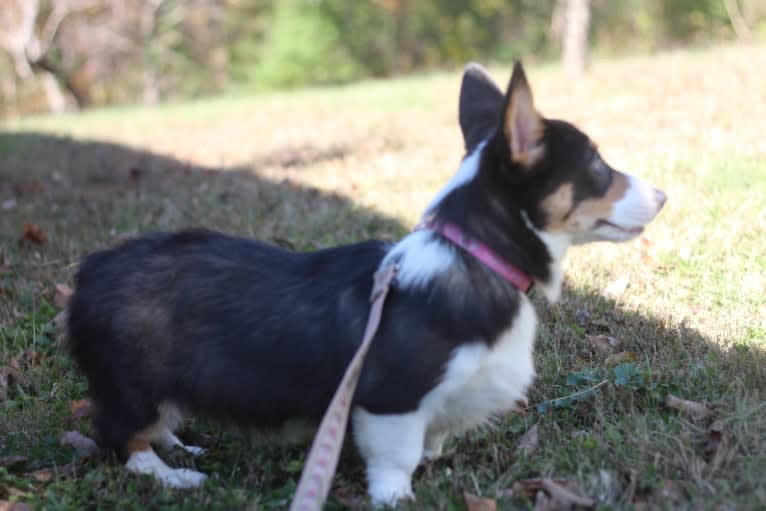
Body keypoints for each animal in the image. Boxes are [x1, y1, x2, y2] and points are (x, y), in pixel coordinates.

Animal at [66, 62, 664, 506]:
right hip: (133, 382)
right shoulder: (391, 400)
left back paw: (184, 449)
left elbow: (432, 439)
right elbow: (397, 458)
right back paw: (174, 476)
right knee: (121, 440)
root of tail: (90, 272)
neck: (476, 256)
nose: (663, 196)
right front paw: (398, 497)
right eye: (597, 166)